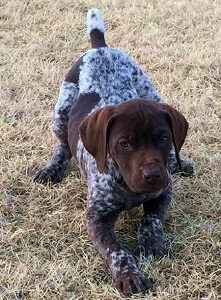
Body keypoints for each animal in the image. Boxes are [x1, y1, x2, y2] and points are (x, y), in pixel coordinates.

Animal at [34, 8, 193, 296]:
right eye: (124, 144)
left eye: (163, 138)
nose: (153, 174)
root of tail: (100, 48)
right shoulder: (96, 218)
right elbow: (116, 250)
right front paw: (129, 274)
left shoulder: (164, 193)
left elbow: (151, 220)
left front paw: (150, 244)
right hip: (61, 111)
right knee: (63, 145)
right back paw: (52, 169)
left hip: (150, 91)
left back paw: (180, 163)